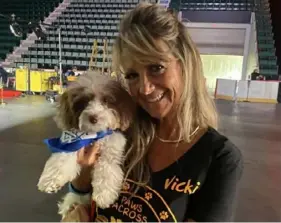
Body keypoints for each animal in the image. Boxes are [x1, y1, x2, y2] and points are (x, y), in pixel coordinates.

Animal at [36, 72, 135, 218]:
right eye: (84, 102)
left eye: (106, 100)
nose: (93, 118)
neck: (93, 136)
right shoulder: (71, 143)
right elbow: (61, 159)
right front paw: (50, 181)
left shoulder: (112, 148)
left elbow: (107, 167)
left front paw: (104, 195)